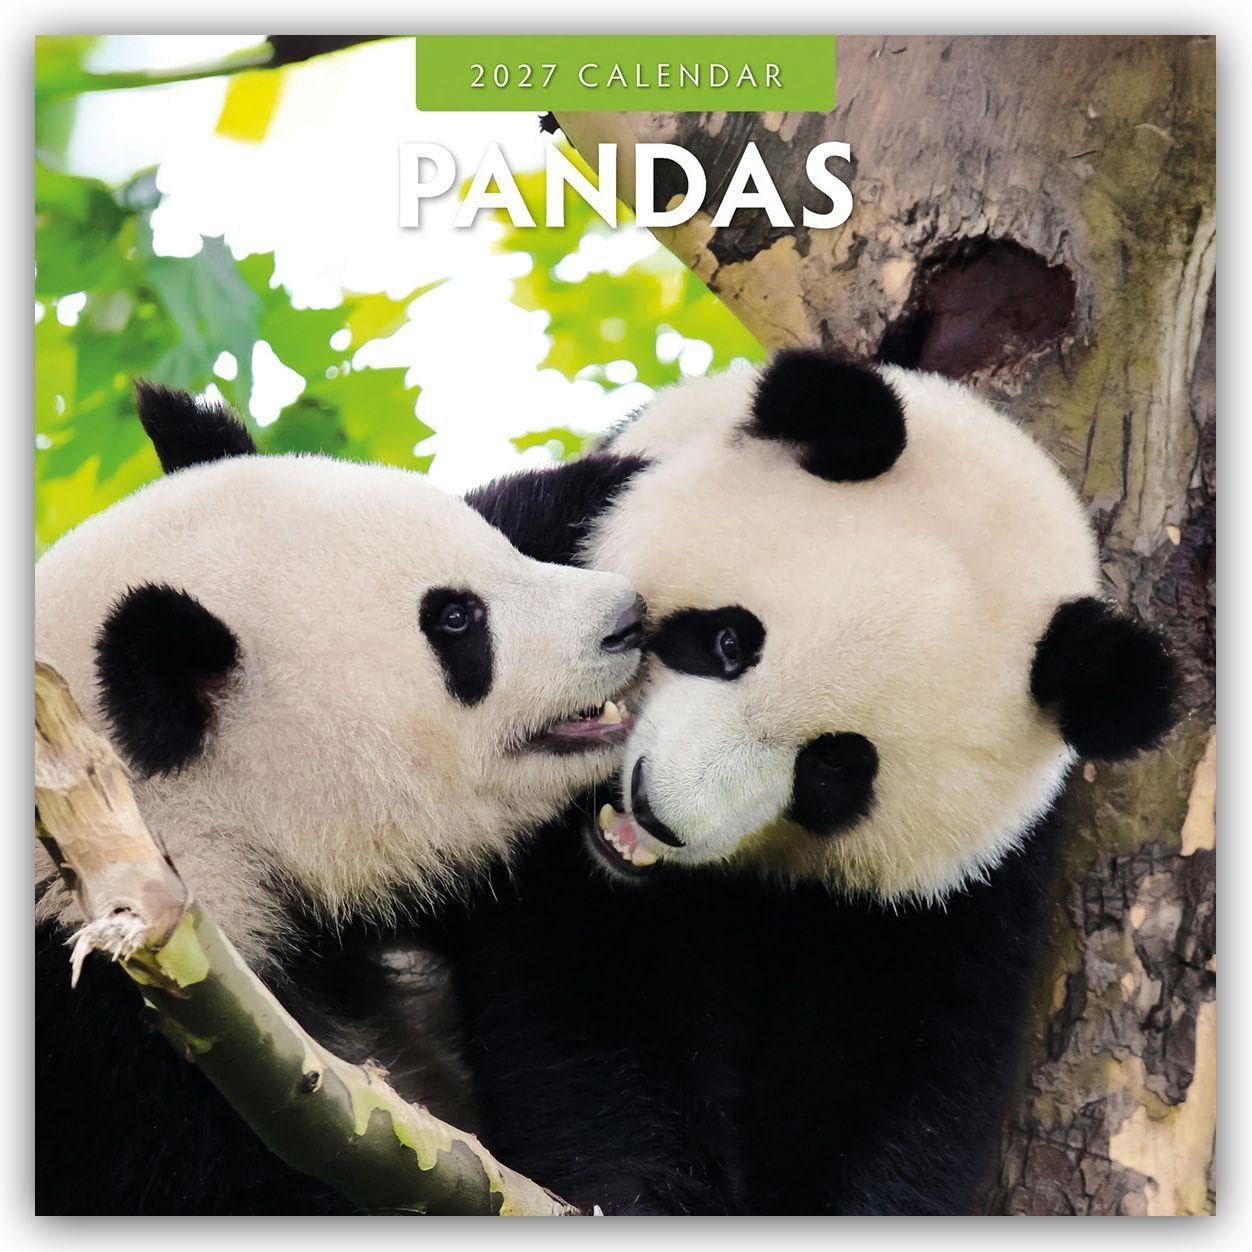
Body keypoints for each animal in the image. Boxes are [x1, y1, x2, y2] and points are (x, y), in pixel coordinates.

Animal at [441, 350, 1180, 1215]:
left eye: (834, 766)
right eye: (729, 640)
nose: (657, 813)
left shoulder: (965, 893)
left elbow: (899, 1070)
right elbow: (596, 1001)